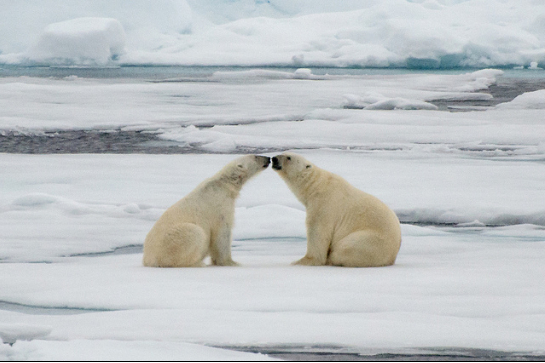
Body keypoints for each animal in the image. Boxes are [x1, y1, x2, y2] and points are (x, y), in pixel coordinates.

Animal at [142, 155, 270, 268]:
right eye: (256, 157)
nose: (268, 158)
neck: (223, 185)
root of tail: (148, 260)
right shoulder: (220, 206)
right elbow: (222, 233)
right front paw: (231, 262)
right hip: (171, 242)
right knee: (194, 233)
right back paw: (197, 263)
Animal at [270, 152, 400, 268]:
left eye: (289, 157)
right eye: (282, 153)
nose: (274, 159)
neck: (317, 185)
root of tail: (393, 257)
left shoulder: (324, 204)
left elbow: (317, 230)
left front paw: (302, 261)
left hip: (371, 241)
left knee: (346, 247)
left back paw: (332, 259)